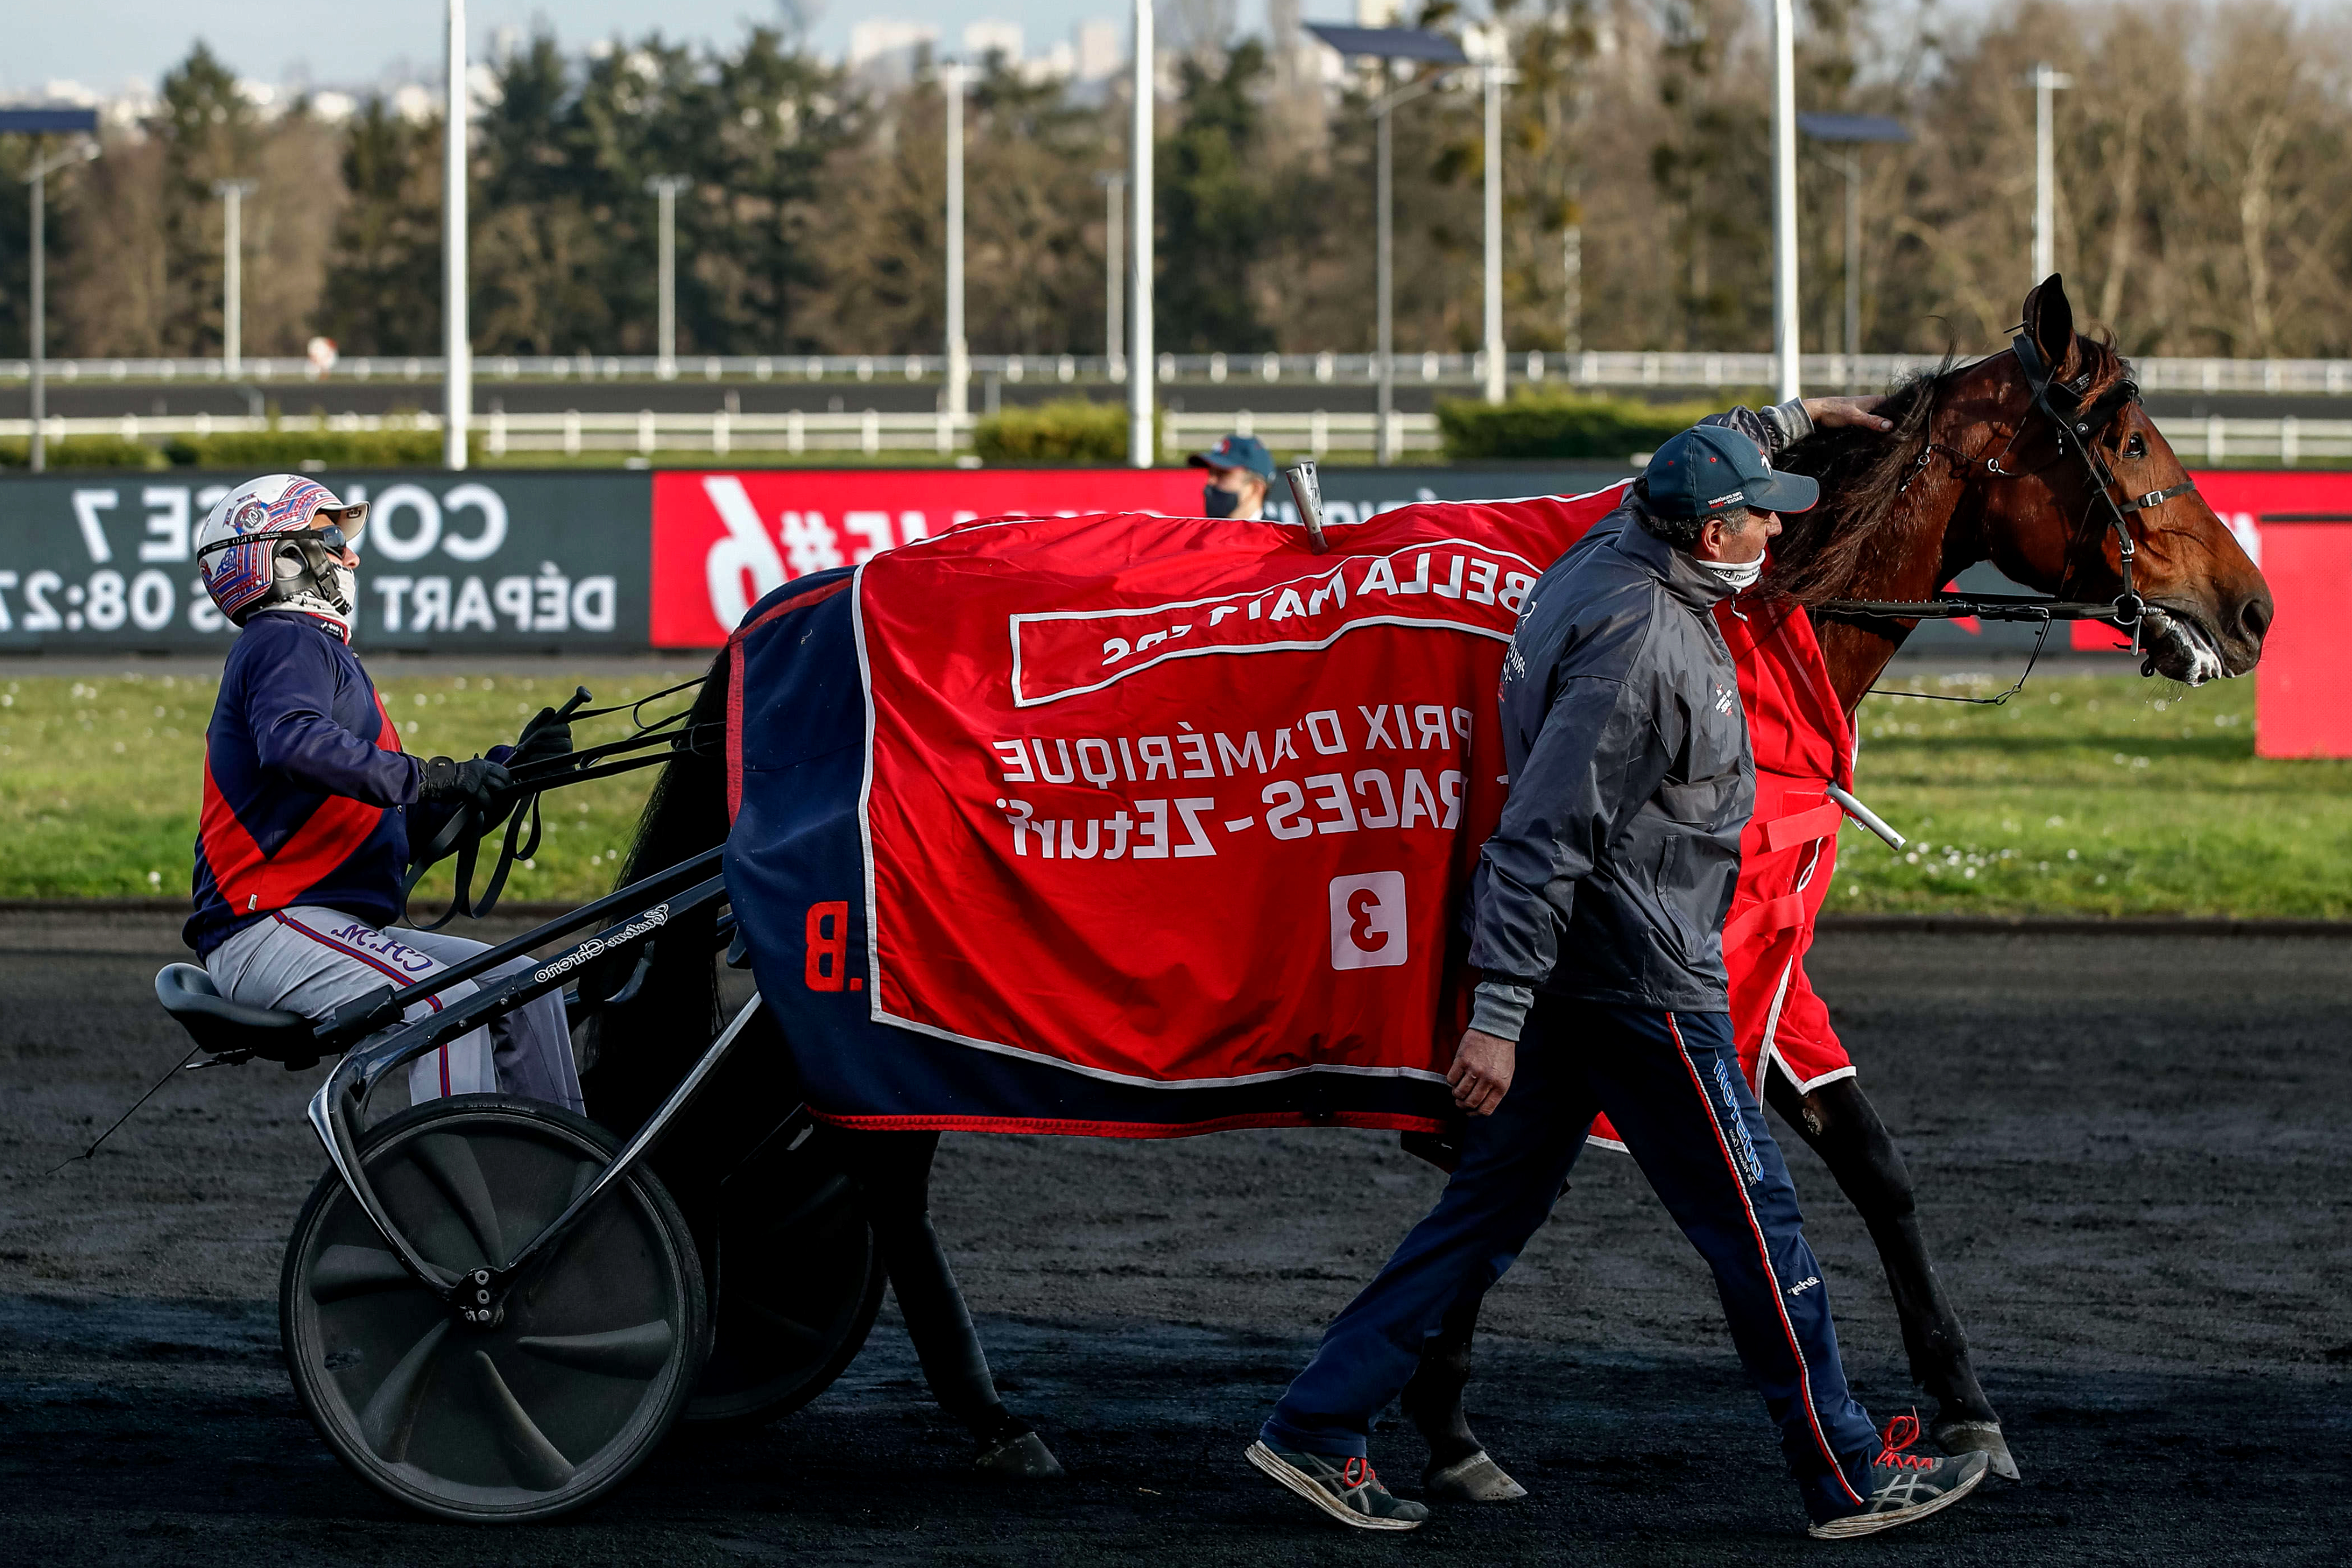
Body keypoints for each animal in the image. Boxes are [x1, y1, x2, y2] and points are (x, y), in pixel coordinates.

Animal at [579, 276, 2267, 1495]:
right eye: (2127, 442)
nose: (2248, 606)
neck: (1718, 618)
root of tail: (794, 607)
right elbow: (1500, 1178)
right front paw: (1442, 1428)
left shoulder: (1710, 951)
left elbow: (1865, 1157)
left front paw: (1967, 1408)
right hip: (894, 957)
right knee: (877, 1166)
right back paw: (952, 1398)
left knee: (853, 1151)